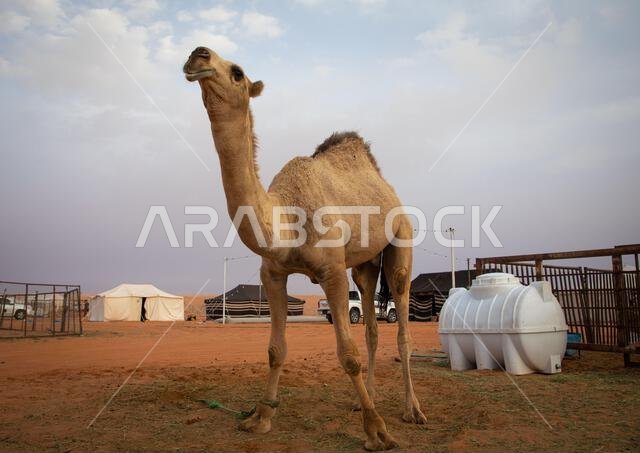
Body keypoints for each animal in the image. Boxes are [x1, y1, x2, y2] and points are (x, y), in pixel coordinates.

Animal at [183, 47, 427, 451]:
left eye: (237, 72)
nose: (198, 54)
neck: (285, 218)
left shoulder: (332, 273)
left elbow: (347, 354)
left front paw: (377, 432)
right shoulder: (273, 273)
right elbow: (275, 350)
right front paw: (260, 418)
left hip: (400, 244)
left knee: (402, 327)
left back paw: (412, 411)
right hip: (364, 266)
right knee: (372, 326)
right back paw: (364, 402)